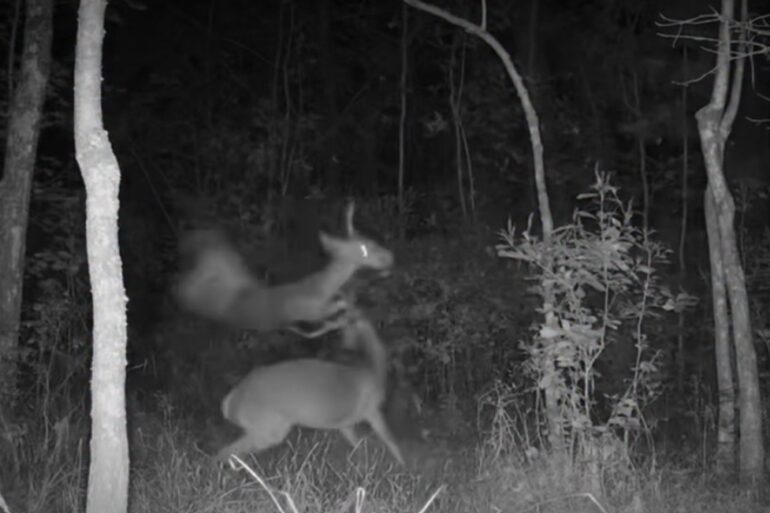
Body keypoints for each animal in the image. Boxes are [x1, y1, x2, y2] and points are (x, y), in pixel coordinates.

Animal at [175, 201, 393, 336]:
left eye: (371, 240)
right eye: (364, 249)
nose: (390, 257)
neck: (318, 289)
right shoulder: (309, 312)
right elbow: (333, 310)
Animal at [216, 306, 404, 465]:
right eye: (342, 328)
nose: (345, 347)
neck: (374, 369)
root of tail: (230, 403)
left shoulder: (344, 423)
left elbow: (359, 446)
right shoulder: (371, 409)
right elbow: (390, 440)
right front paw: (404, 467)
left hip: (260, 428)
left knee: (228, 452)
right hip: (269, 427)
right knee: (227, 452)